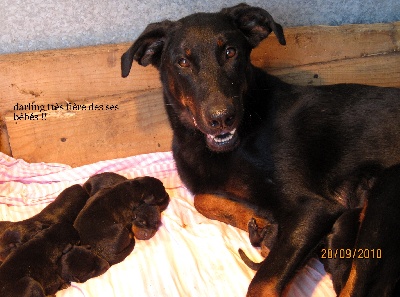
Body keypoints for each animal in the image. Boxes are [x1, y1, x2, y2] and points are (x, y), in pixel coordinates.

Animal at [121, 2, 400, 296]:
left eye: (230, 52)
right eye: (182, 62)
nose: (222, 118)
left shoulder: (315, 208)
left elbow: (261, 283)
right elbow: (203, 199)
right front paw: (264, 224)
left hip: (386, 193)